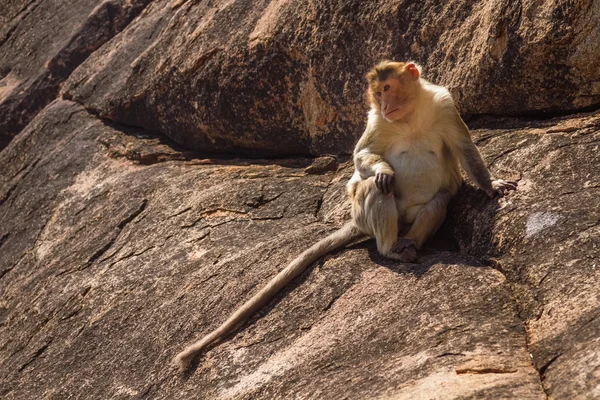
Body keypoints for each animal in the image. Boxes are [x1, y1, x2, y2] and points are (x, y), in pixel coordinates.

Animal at [172, 60, 516, 372]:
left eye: (387, 88)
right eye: (377, 94)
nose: (384, 104)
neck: (409, 117)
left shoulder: (443, 105)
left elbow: (465, 150)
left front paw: (492, 186)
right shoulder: (377, 121)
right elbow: (362, 157)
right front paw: (382, 169)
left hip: (411, 215)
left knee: (439, 201)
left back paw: (409, 244)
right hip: (364, 214)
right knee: (377, 189)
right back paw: (390, 247)